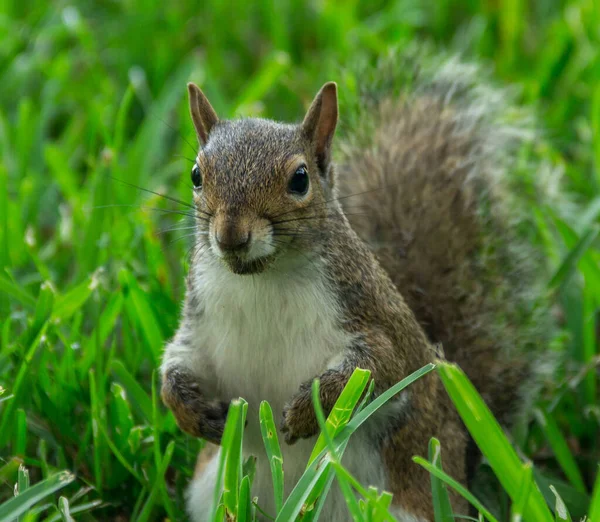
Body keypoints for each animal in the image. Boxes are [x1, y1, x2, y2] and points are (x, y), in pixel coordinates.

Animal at [161, 53, 552, 520]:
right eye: (196, 175)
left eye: (300, 179)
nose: (230, 236)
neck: (261, 279)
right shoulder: (198, 323)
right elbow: (178, 361)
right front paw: (187, 409)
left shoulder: (372, 318)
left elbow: (379, 367)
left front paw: (308, 410)